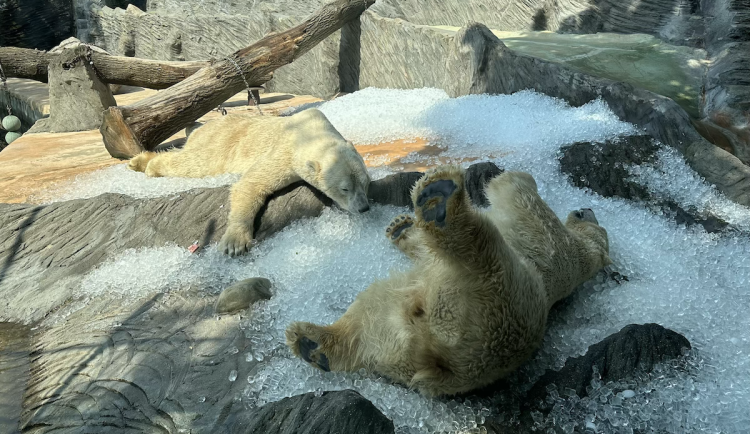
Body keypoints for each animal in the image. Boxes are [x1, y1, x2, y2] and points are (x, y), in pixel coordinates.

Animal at [132, 108, 376, 256]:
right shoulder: (285, 154)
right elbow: (251, 183)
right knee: (196, 163)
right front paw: (235, 243)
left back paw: (140, 161)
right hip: (221, 143)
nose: (364, 208)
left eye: (366, 183)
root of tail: (203, 126)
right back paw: (149, 165)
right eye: (345, 188)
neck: (310, 130)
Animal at [284, 165, 612, 396]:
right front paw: (400, 227)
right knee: (369, 312)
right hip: (405, 318)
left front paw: (507, 178)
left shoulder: (555, 246)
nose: (587, 208)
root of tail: (443, 361)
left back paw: (440, 200)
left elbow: (522, 197)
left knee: (477, 246)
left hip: (497, 295)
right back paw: (313, 343)